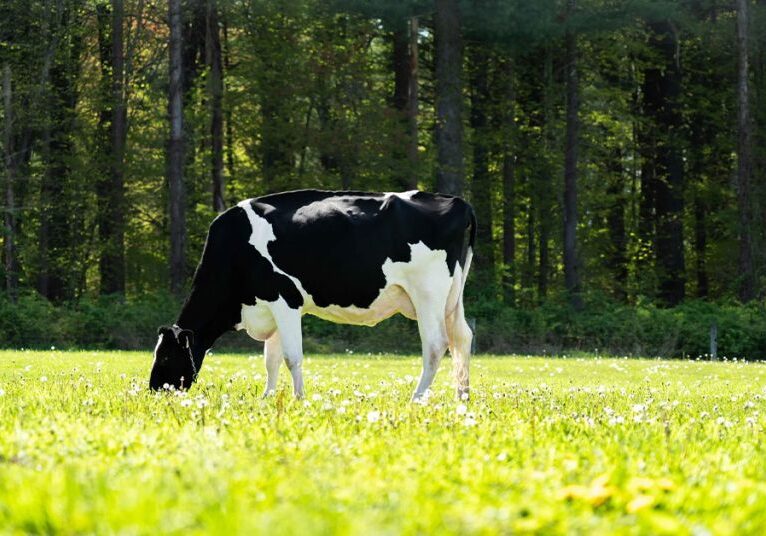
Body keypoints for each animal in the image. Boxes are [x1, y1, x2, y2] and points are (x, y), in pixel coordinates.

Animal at [150, 189, 475, 400]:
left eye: (165, 356)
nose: (153, 390)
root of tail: (457, 201)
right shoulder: (270, 306)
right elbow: (271, 359)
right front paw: (267, 398)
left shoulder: (284, 299)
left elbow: (291, 357)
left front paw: (298, 399)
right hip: (452, 298)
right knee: (462, 338)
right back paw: (462, 398)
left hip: (428, 293)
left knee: (436, 345)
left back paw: (416, 399)